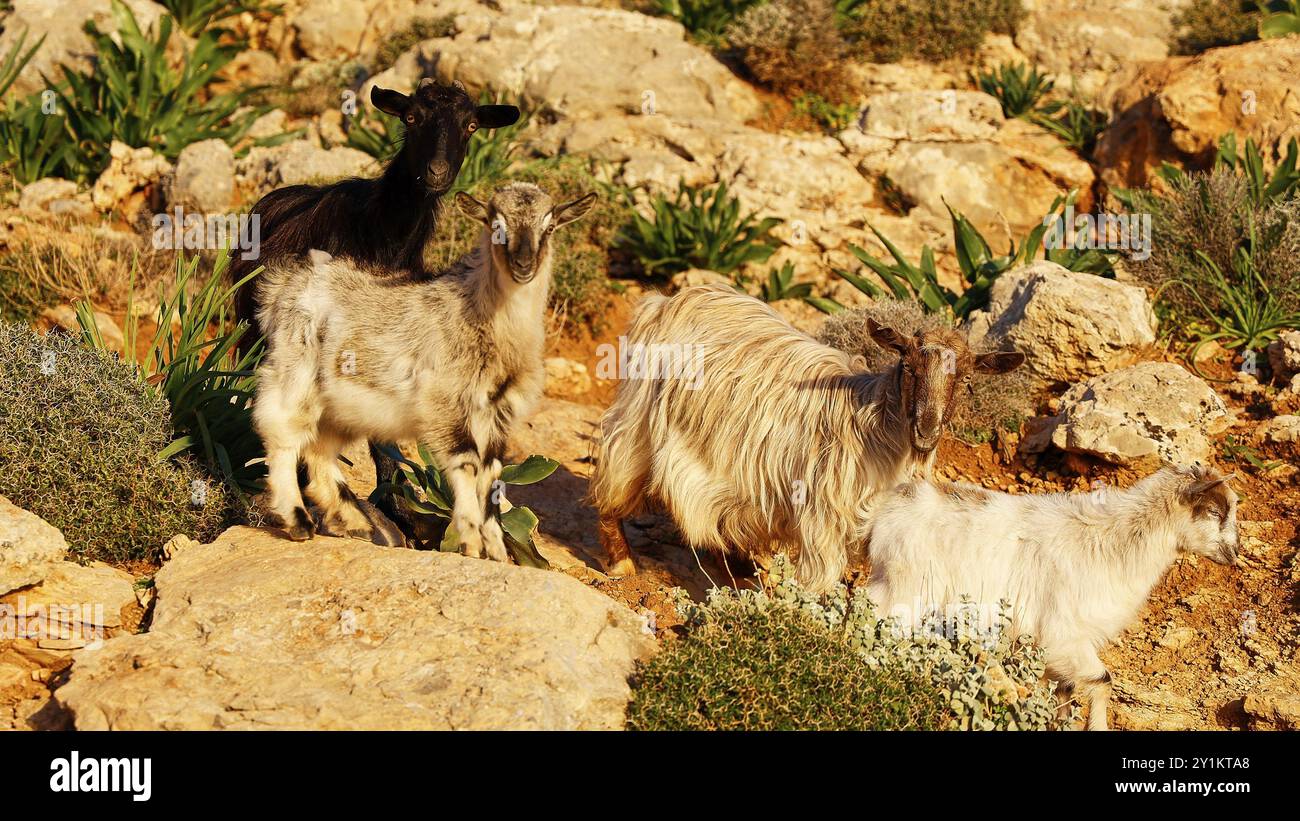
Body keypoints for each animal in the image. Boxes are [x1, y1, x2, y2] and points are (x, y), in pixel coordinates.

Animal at [253, 181, 598, 555]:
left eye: (549, 228)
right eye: (496, 225)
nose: (523, 266)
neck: (477, 314)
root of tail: (282, 286)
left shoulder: (498, 414)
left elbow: (491, 476)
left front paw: (497, 551)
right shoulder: (445, 406)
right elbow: (467, 466)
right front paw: (471, 544)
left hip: (341, 404)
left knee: (320, 450)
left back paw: (354, 521)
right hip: (295, 369)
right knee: (282, 431)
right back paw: (298, 520)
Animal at [590, 285, 1024, 592]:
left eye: (965, 380)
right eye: (908, 366)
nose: (926, 430)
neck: (872, 426)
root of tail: (666, 301)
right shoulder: (822, 516)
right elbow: (819, 581)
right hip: (639, 418)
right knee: (614, 478)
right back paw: (620, 561)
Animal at [863, 465, 1237, 727]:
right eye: (1215, 512)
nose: (1234, 554)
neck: (1111, 544)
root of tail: (888, 508)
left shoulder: (1055, 653)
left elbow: (1065, 694)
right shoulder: (1064, 635)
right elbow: (1103, 680)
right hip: (903, 590)